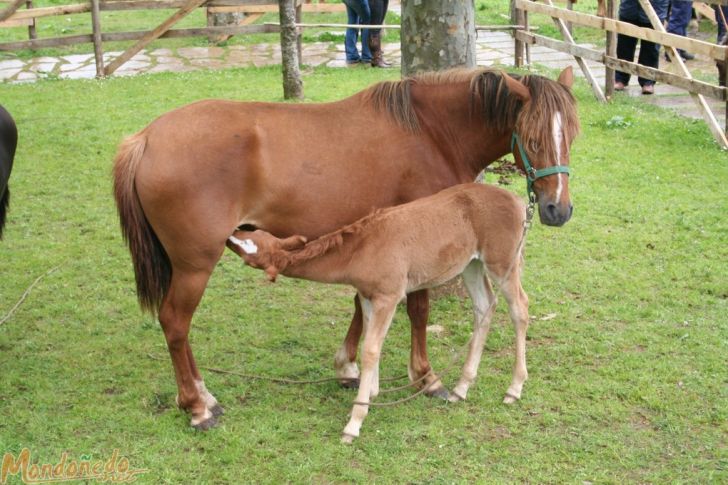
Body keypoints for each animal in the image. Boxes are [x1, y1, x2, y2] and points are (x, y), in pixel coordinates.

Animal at [230, 182, 532, 442]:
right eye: (252, 235)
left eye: (249, 251)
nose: (231, 234)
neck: (361, 248)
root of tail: (518, 202)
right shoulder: (368, 295)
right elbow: (371, 342)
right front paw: (372, 391)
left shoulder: (389, 296)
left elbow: (371, 349)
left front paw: (355, 421)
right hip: (471, 264)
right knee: (484, 306)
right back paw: (461, 388)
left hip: (502, 262)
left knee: (520, 308)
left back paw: (514, 388)